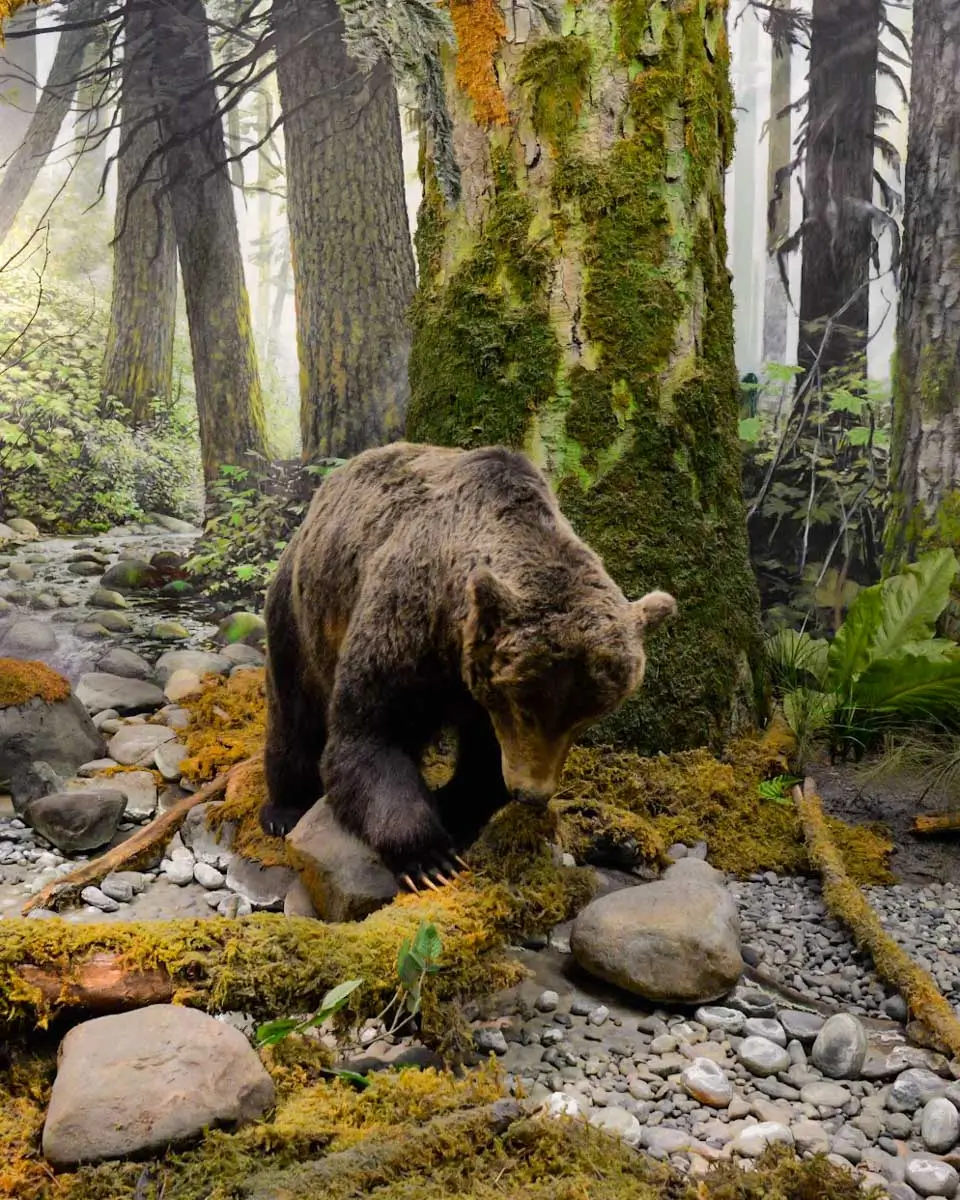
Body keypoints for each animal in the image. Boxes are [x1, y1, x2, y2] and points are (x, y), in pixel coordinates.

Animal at [259, 442, 675, 888]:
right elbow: (370, 736)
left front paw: (455, 811)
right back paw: (284, 809)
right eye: (527, 708)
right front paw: (430, 859)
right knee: (294, 710)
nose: (533, 793)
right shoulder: (407, 629)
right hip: (299, 612)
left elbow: (484, 764)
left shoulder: (480, 692)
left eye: (584, 719)